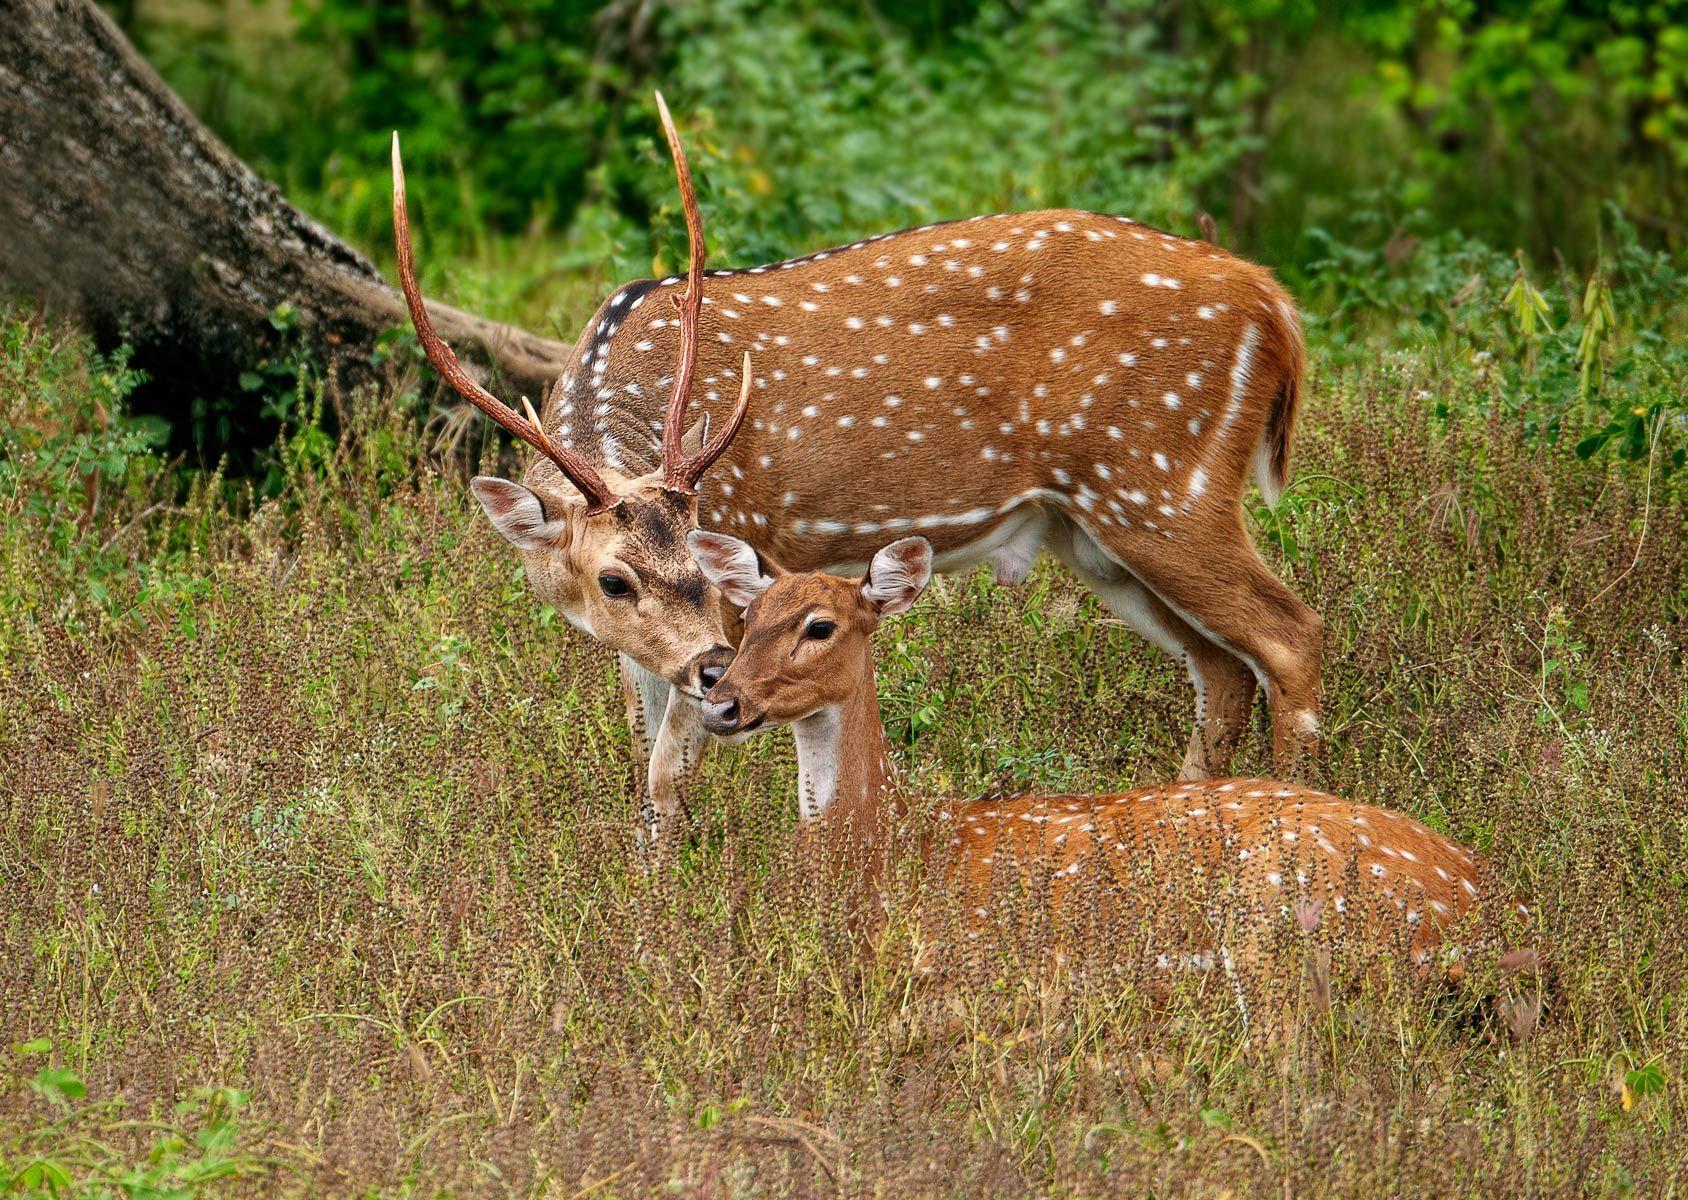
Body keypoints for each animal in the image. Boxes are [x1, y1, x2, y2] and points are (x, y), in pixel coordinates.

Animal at [394, 94, 1321, 833]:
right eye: (613, 581)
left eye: (706, 557)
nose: (714, 667)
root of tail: (1274, 304)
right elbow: (642, 763)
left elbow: (664, 780)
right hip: (1093, 531)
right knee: (1221, 668)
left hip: (1163, 479)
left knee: (1288, 638)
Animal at [687, 530, 1538, 991]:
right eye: (748, 617)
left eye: (820, 625)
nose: (720, 700)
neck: (886, 842)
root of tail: (1500, 910)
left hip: (1280, 921)